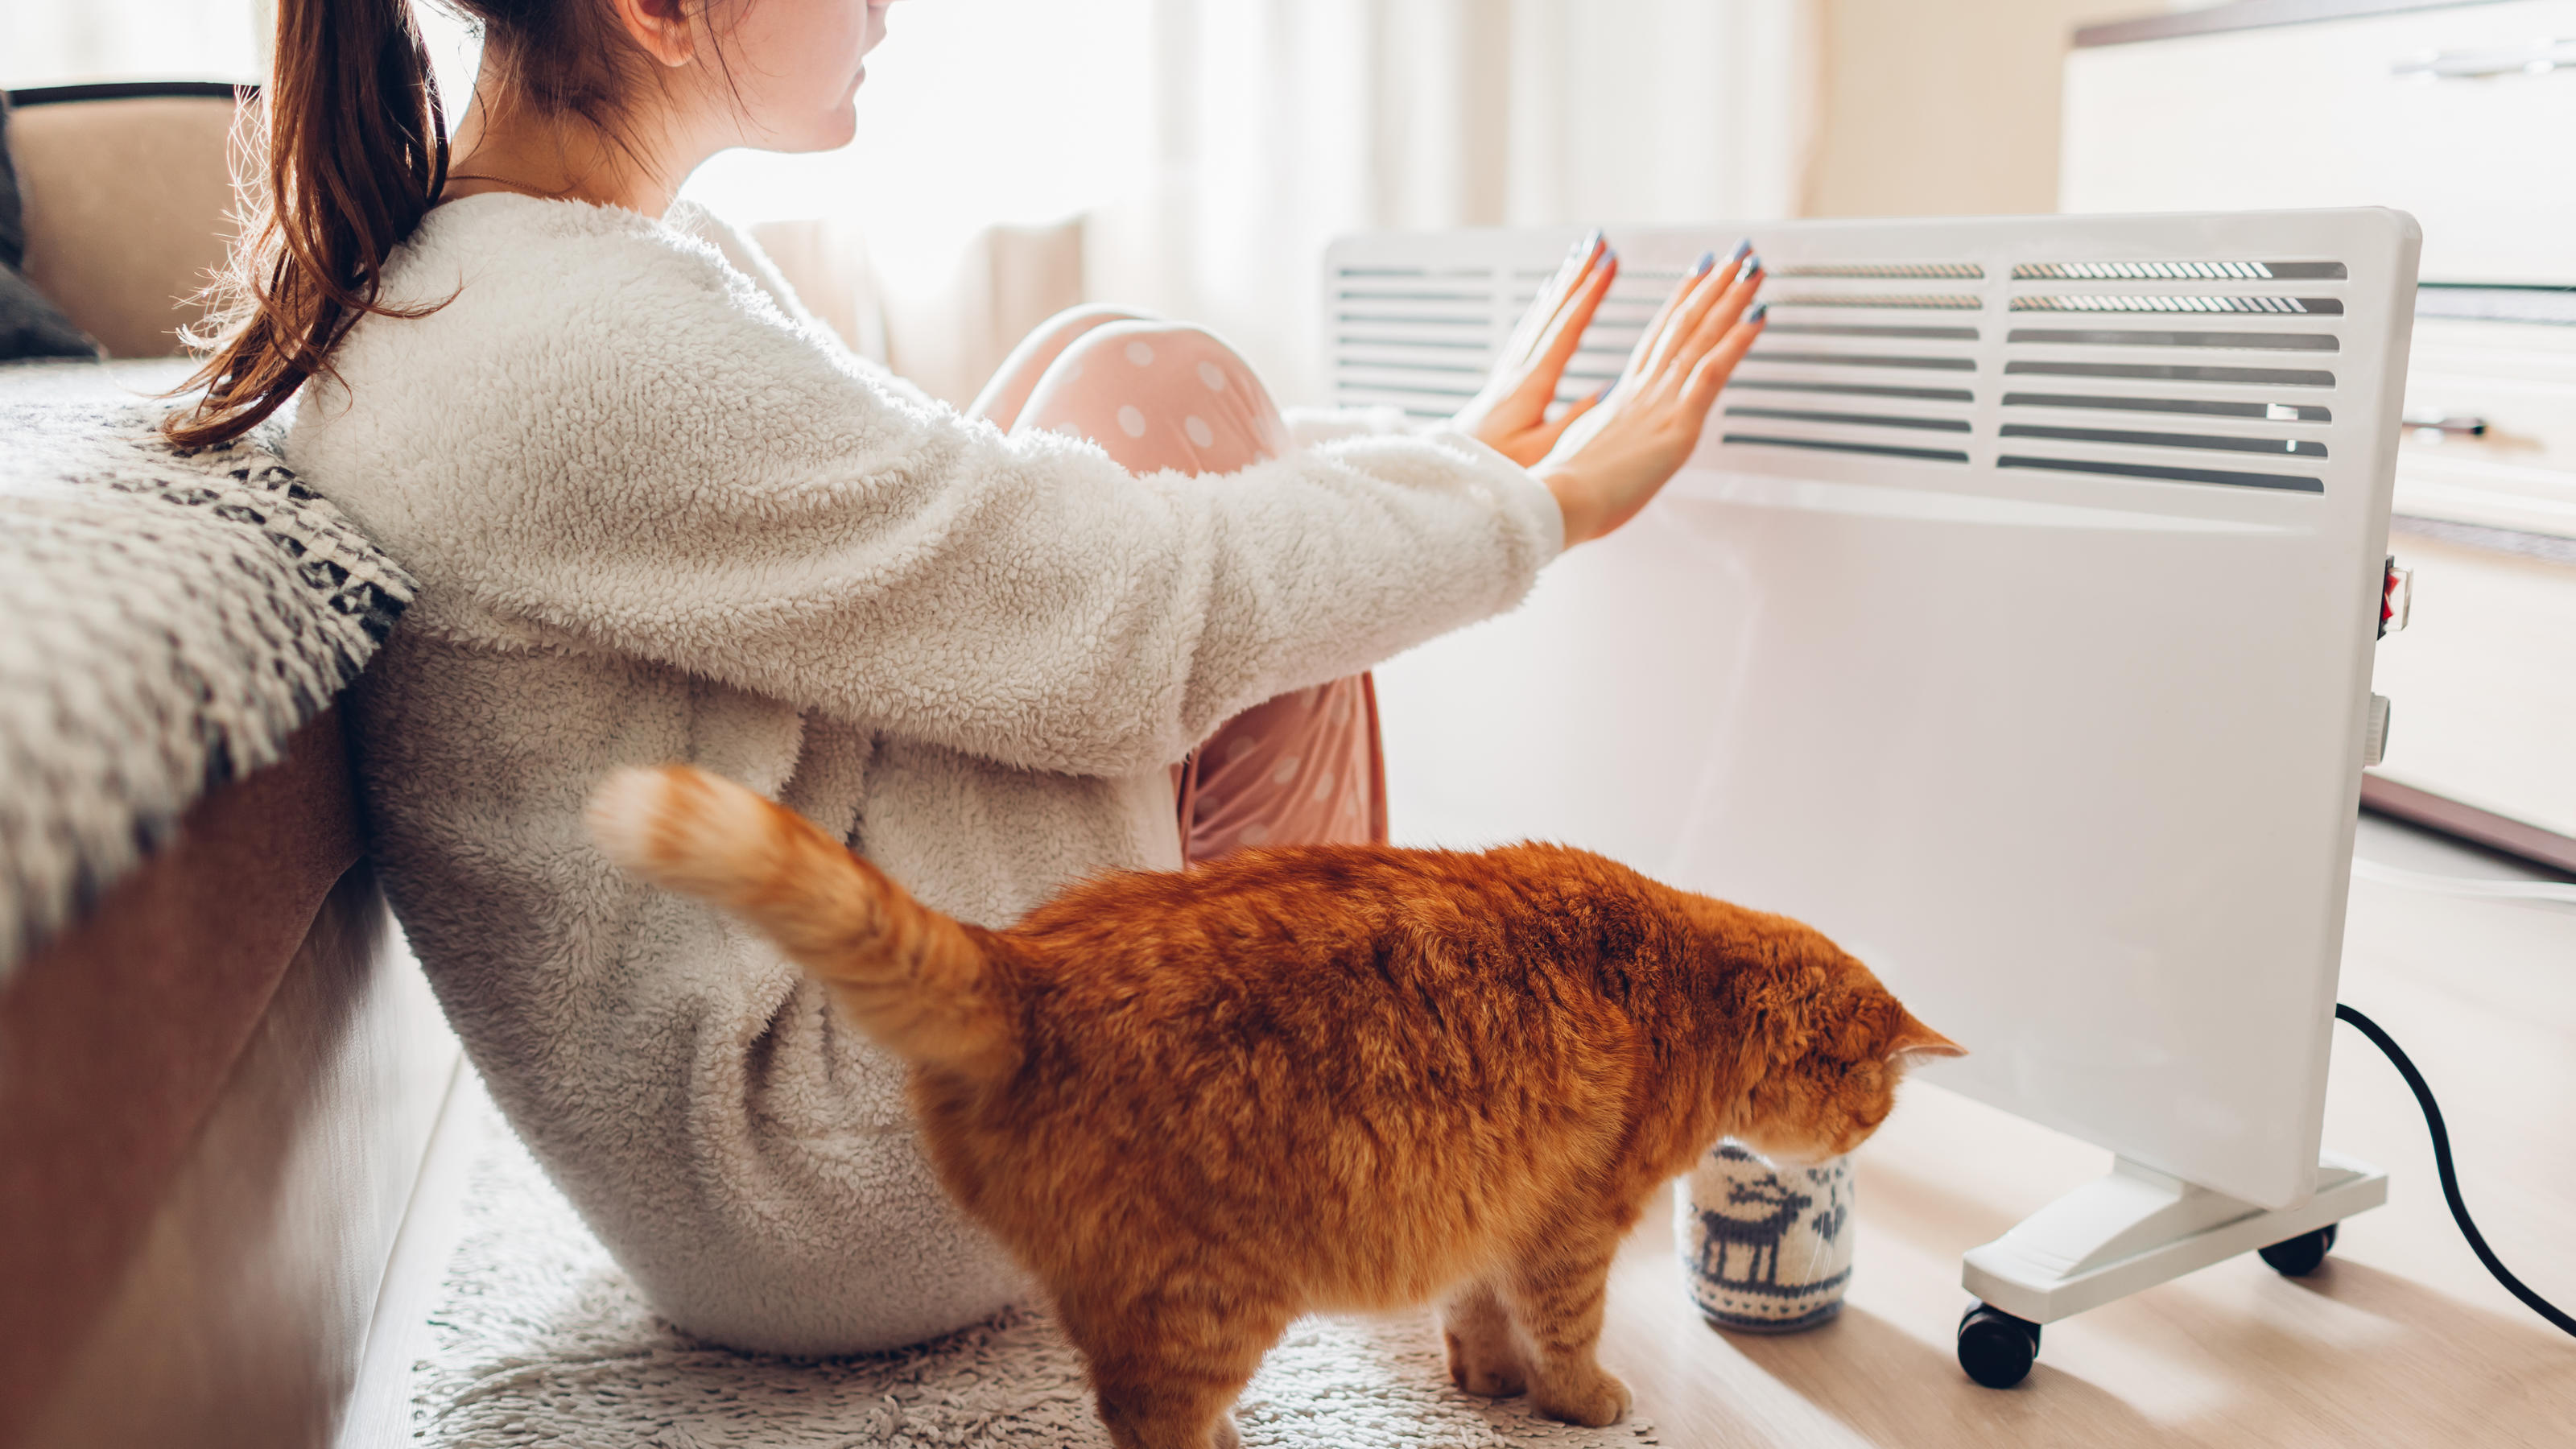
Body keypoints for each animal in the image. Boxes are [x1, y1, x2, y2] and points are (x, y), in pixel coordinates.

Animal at [589, 763, 1947, 1433]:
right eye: (1872, 1113)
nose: (1870, 1136)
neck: (1685, 983)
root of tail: (1024, 962)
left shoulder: (1496, 1205)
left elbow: (1479, 1316)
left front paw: (1488, 1384)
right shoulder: (1571, 1226)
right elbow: (1565, 1332)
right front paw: (1577, 1401)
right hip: (1211, 1296)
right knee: (1146, 1418)